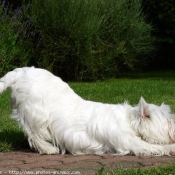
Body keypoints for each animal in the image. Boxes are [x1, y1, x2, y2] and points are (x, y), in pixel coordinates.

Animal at [0, 67, 175, 156]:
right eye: (168, 120)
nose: (173, 123)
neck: (129, 121)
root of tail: (20, 72)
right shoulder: (128, 142)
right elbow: (153, 147)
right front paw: (171, 148)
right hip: (37, 113)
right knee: (34, 134)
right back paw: (49, 149)